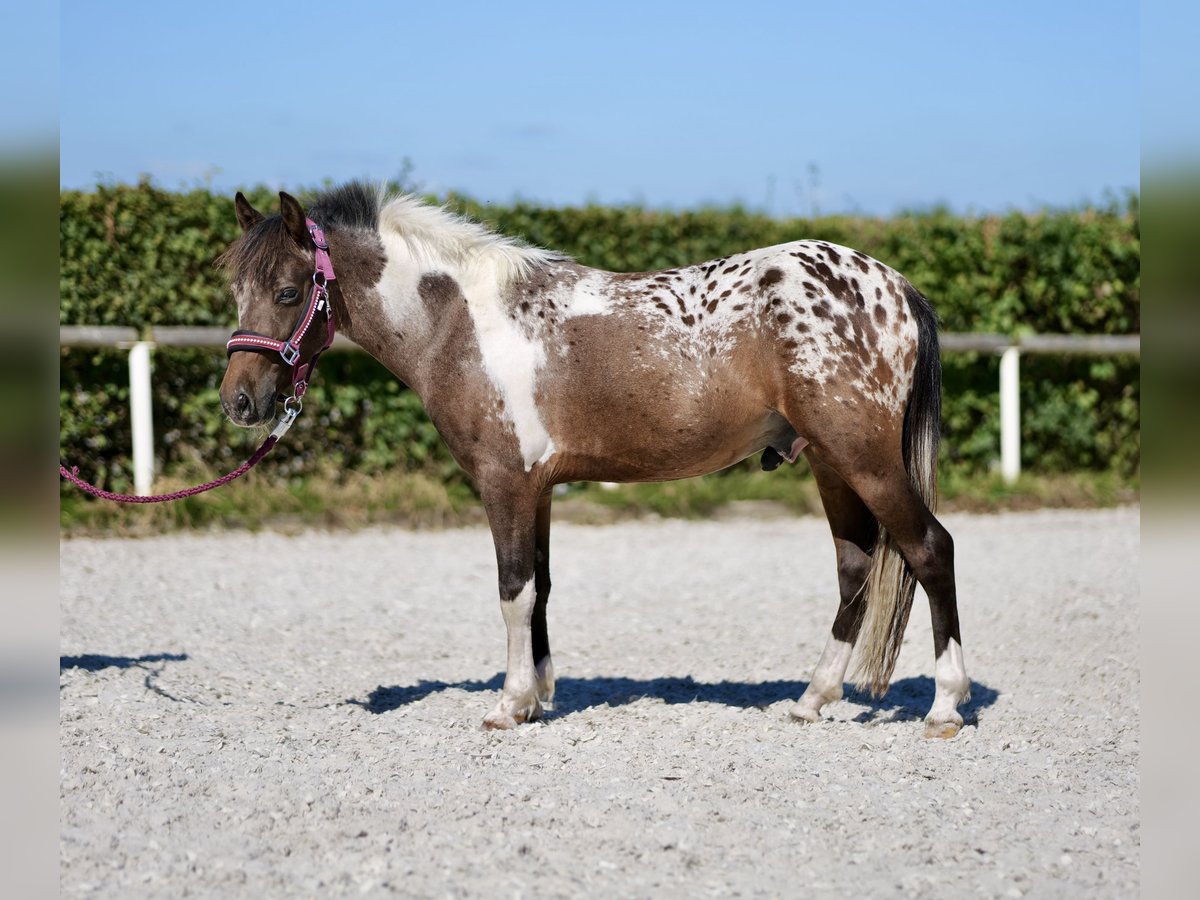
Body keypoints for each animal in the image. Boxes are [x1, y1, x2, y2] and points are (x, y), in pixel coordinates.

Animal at [213, 183, 964, 739]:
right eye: (237, 292)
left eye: (288, 292)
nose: (240, 402)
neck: (462, 322)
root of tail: (895, 286)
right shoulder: (540, 490)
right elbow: (540, 589)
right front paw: (537, 695)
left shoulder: (506, 485)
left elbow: (513, 590)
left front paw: (508, 704)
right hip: (831, 464)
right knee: (855, 568)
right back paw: (813, 698)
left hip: (864, 461)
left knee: (930, 550)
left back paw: (945, 707)